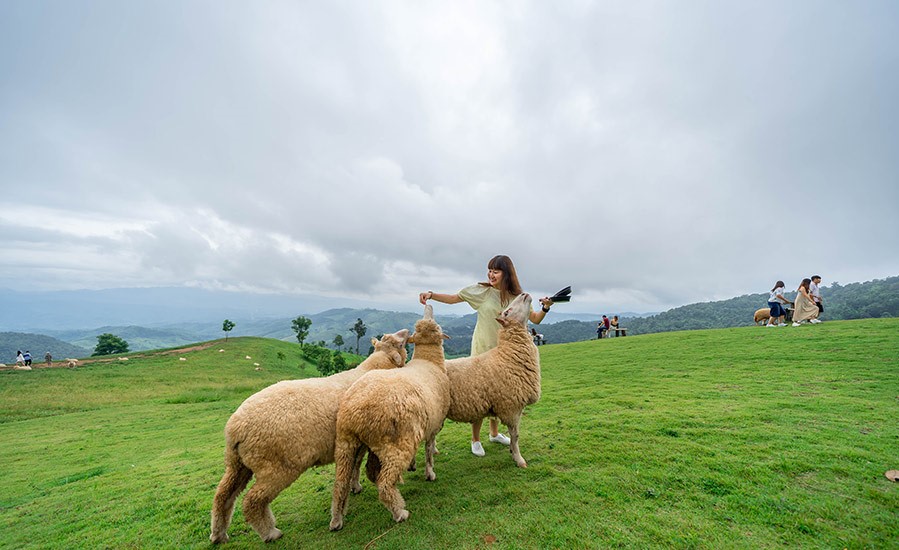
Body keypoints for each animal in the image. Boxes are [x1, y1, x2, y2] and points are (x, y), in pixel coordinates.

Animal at [209, 330, 410, 544]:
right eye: (400, 343)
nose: (407, 332)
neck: (373, 367)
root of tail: (235, 428)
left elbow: (355, 465)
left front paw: (354, 486)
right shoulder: (359, 440)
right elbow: (356, 464)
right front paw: (356, 486)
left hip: (237, 463)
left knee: (223, 496)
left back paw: (218, 534)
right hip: (276, 467)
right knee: (252, 501)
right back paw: (270, 533)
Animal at [328, 306, 450, 536]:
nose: (428, 304)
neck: (429, 361)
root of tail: (354, 413)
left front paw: (413, 466)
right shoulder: (432, 426)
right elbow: (429, 451)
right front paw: (430, 473)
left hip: (346, 443)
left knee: (340, 484)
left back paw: (337, 520)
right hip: (395, 444)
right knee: (384, 483)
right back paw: (399, 512)